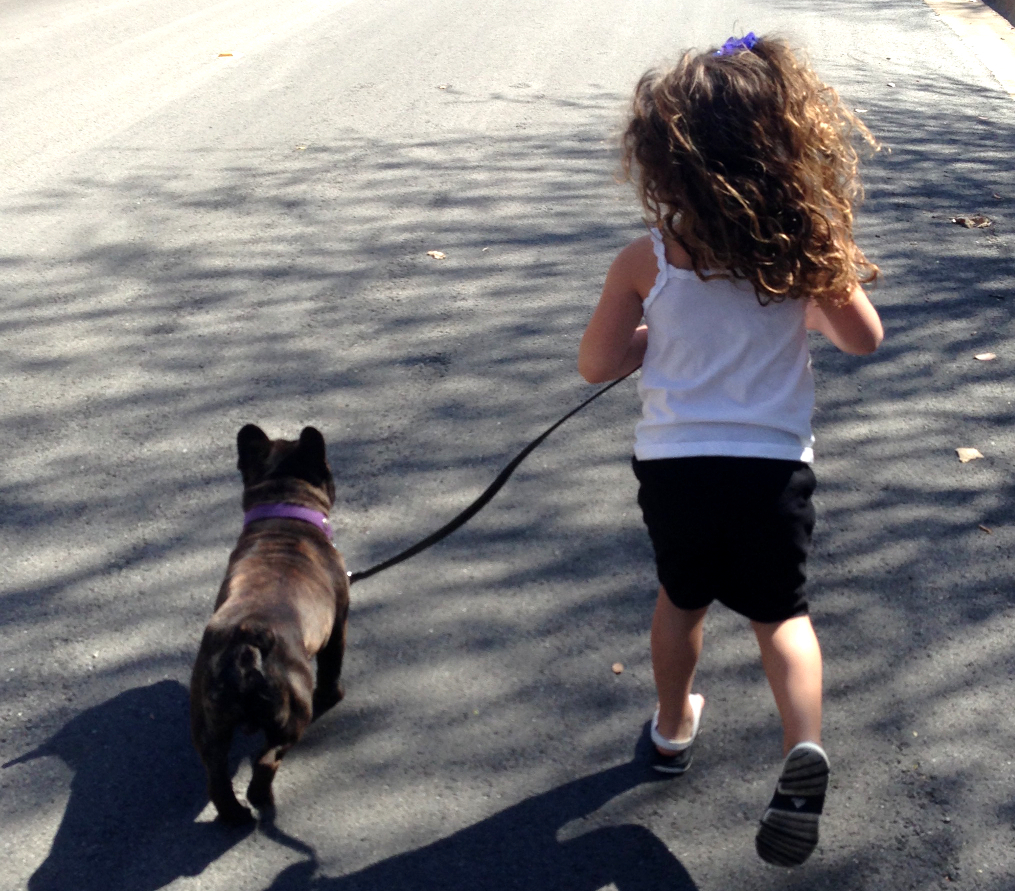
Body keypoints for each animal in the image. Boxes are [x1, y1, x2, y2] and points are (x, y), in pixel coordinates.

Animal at [189, 426, 349, 824]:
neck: (283, 511)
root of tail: (246, 641)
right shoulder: (339, 623)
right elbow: (332, 665)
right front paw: (334, 694)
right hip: (293, 711)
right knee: (267, 759)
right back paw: (261, 798)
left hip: (208, 722)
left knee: (216, 775)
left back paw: (235, 816)